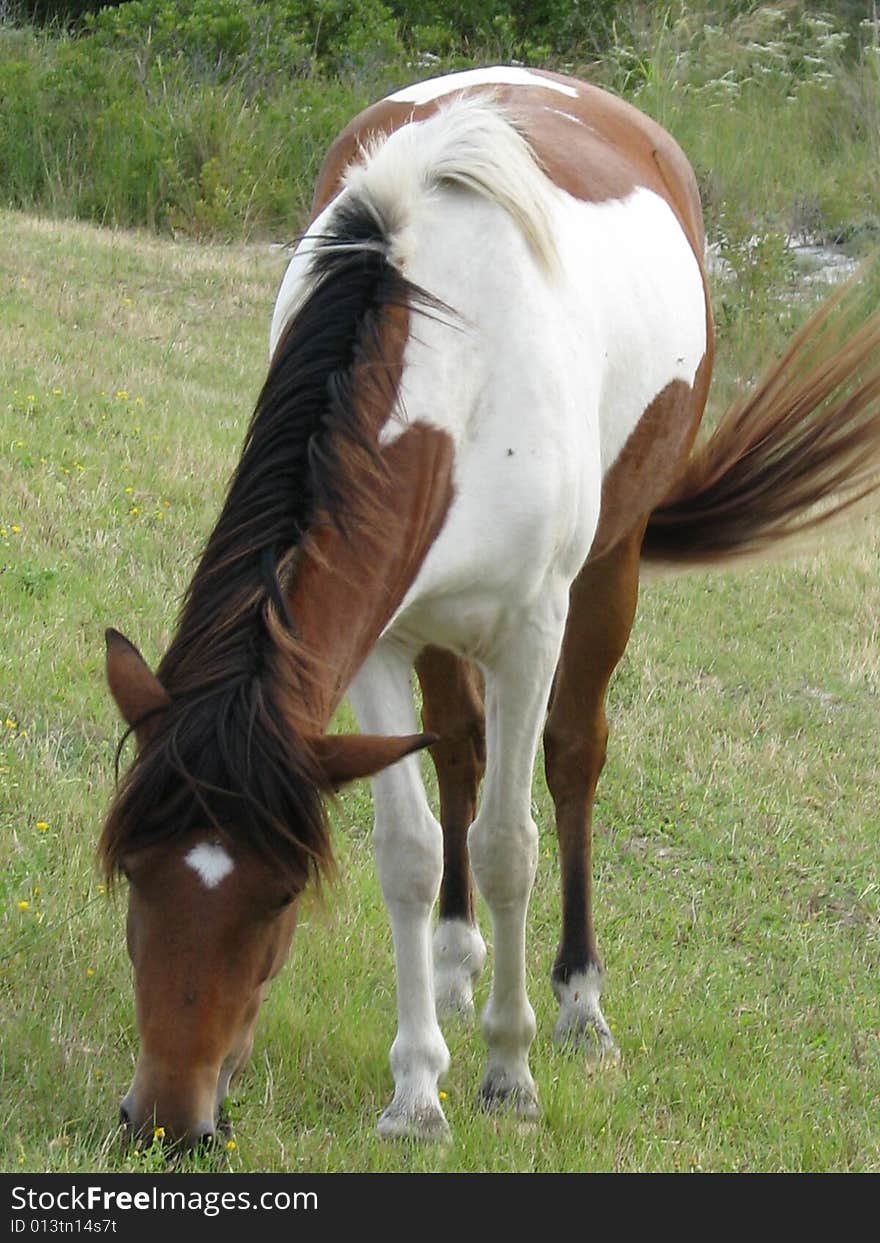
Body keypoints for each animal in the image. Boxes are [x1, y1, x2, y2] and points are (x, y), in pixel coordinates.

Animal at [99, 63, 879, 1138]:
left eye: (282, 898)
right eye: (134, 872)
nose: (168, 1119)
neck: (449, 348)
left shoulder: (529, 632)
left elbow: (512, 842)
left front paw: (508, 1072)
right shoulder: (376, 638)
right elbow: (410, 849)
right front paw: (417, 1086)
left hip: (610, 573)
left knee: (572, 761)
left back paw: (578, 1003)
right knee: (460, 753)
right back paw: (455, 965)